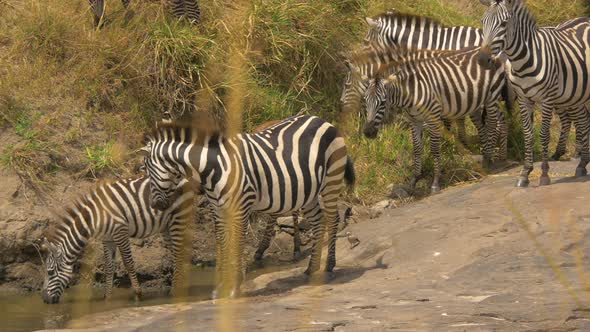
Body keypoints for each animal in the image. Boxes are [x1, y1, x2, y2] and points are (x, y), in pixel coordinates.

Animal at [35, 176, 195, 304]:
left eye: (50, 272)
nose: (44, 300)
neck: (94, 218)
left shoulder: (120, 231)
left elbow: (128, 262)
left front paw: (138, 294)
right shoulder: (107, 238)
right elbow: (109, 266)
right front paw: (107, 297)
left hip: (178, 219)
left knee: (179, 253)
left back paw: (175, 291)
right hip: (166, 226)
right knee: (176, 255)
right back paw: (178, 287)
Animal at [141, 114, 358, 298]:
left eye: (145, 168)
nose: (155, 204)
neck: (213, 168)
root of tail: (321, 120)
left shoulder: (241, 207)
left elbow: (237, 243)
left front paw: (234, 287)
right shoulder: (218, 210)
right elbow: (223, 244)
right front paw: (221, 287)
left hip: (331, 179)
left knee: (333, 219)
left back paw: (329, 265)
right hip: (308, 192)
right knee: (318, 221)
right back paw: (311, 268)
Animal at [350, 45, 512, 193]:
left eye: (383, 102)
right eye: (365, 101)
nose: (368, 132)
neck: (411, 92)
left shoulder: (432, 118)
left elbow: (434, 149)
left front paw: (435, 183)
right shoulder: (414, 120)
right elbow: (416, 149)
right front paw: (414, 180)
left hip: (492, 96)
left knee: (492, 123)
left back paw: (489, 160)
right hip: (477, 102)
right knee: (487, 125)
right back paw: (489, 157)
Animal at [478, 0, 590, 187]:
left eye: (504, 24)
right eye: (482, 22)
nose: (481, 60)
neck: (522, 61)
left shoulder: (546, 99)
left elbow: (544, 135)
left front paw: (544, 174)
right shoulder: (524, 100)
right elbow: (528, 135)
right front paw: (525, 173)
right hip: (574, 94)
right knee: (583, 120)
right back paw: (582, 164)